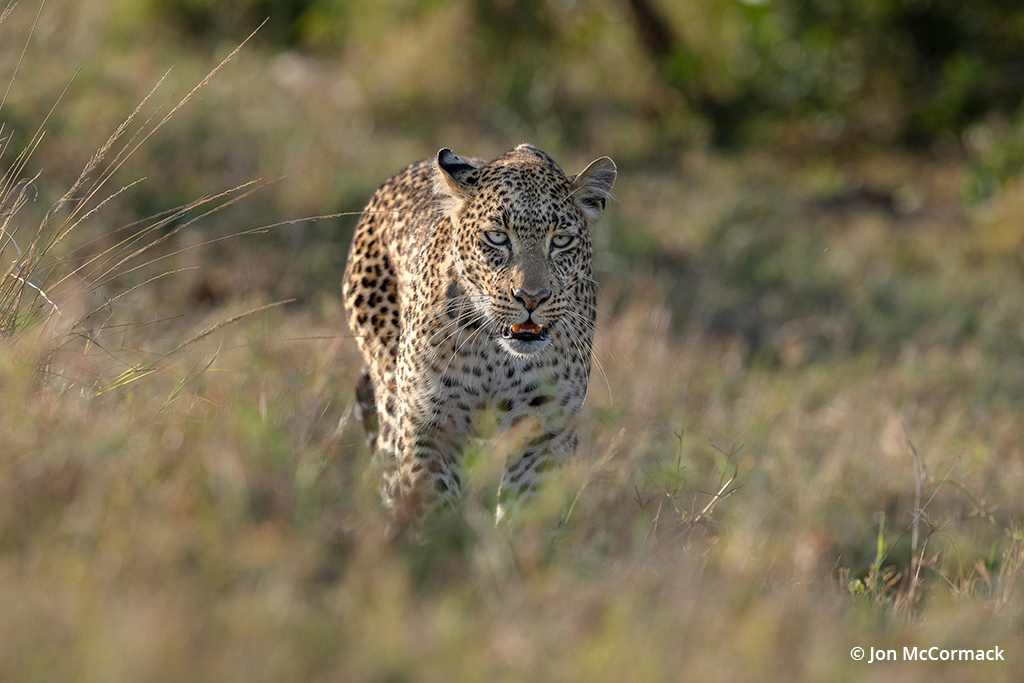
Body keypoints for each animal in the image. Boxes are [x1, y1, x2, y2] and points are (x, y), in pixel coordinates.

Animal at [344, 141, 614, 520]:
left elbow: (525, 512)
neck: (496, 355)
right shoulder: (428, 422)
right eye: (497, 237)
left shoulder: (545, 432)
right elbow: (434, 504)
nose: (531, 297)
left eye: (561, 240)